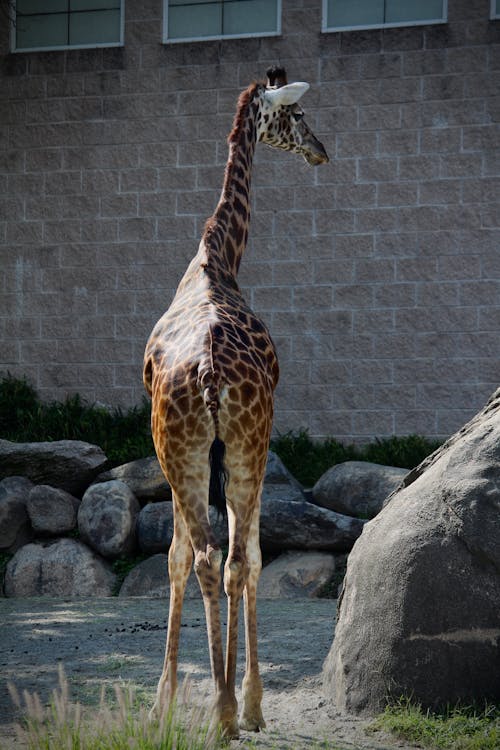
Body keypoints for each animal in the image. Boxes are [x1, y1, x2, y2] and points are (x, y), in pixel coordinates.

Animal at [143, 66, 328, 740]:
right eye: (297, 116)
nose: (321, 150)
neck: (216, 258)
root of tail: (208, 370)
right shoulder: (234, 450)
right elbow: (229, 554)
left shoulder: (191, 458)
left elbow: (184, 558)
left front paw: (165, 703)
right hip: (237, 447)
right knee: (228, 560)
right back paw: (232, 708)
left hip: (194, 452)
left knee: (209, 559)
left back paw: (225, 710)